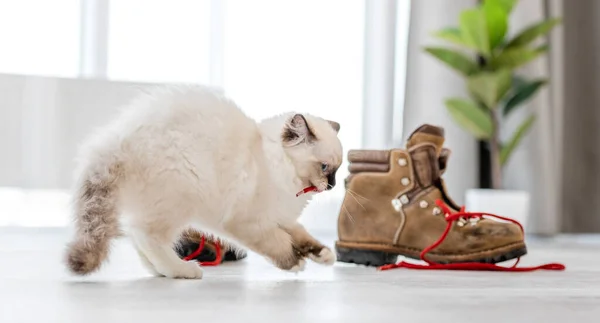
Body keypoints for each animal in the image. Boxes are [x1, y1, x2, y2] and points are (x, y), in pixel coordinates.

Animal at [64, 85, 342, 278]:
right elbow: (280, 244)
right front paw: (295, 263)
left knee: (138, 238)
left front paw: (324, 255)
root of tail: (116, 139)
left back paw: (162, 271)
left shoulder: (281, 217)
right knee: (146, 235)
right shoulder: (251, 222)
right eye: (324, 167)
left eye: (337, 171)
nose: (332, 186)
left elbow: (302, 236)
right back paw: (184, 270)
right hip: (181, 198)